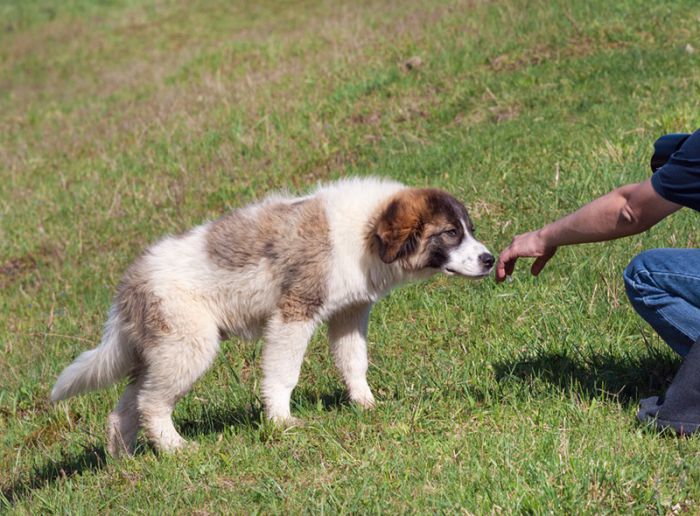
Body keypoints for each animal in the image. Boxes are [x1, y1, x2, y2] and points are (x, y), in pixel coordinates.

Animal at [50, 177, 492, 456]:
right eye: (450, 234)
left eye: (468, 230)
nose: (489, 259)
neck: (361, 234)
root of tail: (129, 285)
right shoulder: (294, 313)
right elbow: (283, 373)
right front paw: (282, 421)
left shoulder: (349, 312)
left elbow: (353, 361)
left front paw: (366, 404)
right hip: (188, 346)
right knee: (150, 403)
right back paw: (175, 448)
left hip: (158, 353)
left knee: (124, 407)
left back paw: (123, 460)